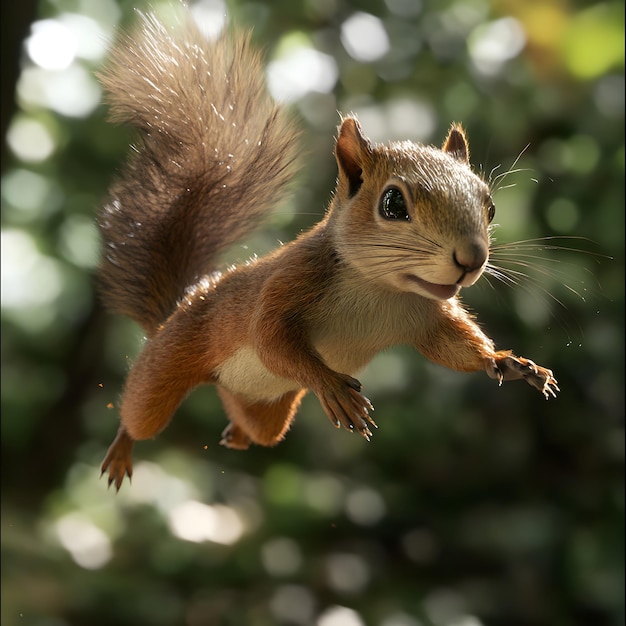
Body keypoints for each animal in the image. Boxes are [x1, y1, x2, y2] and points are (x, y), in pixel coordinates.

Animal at [96, 7, 556, 490]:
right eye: (393, 204)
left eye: (489, 206)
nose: (472, 259)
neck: (382, 289)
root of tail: (183, 304)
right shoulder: (293, 279)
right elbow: (269, 336)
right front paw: (332, 387)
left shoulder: (426, 319)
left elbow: (456, 348)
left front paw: (507, 361)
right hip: (171, 359)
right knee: (141, 412)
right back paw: (122, 447)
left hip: (267, 409)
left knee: (256, 426)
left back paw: (237, 433)